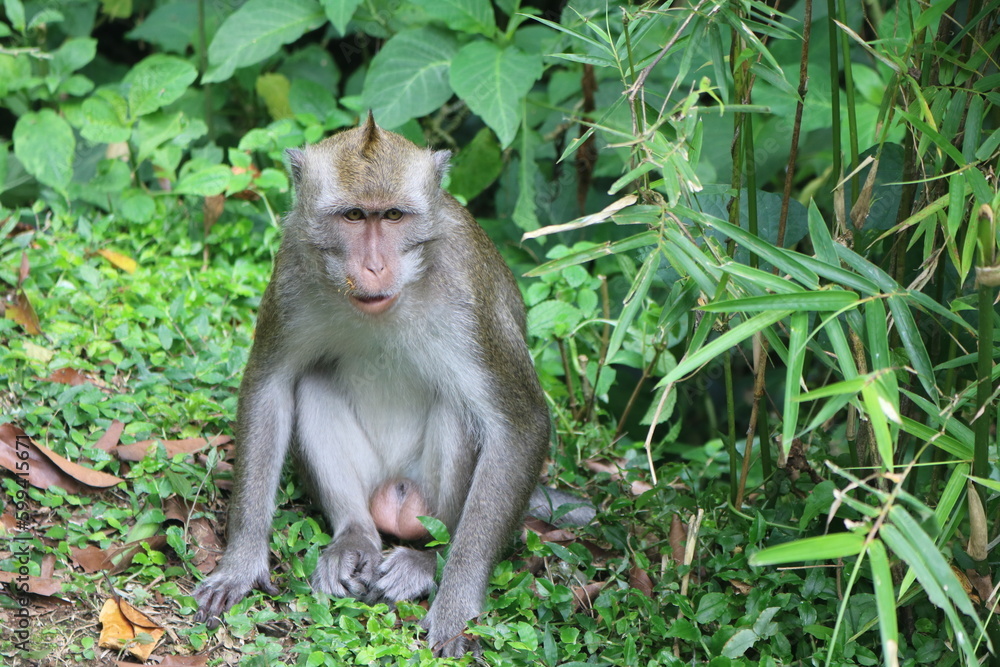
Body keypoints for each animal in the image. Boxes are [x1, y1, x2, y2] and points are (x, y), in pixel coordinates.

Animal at [192, 115, 556, 656]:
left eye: (394, 216)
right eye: (353, 216)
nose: (374, 266)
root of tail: (394, 490)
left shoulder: (468, 293)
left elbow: (521, 424)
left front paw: (456, 607)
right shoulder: (294, 266)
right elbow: (270, 385)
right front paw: (240, 563)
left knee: (459, 409)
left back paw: (425, 560)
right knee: (312, 383)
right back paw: (355, 538)